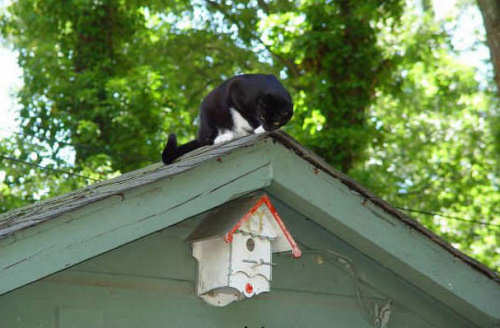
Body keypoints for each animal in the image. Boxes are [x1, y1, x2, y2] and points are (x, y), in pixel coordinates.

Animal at [160, 74, 292, 164]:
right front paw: (258, 128)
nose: (267, 127)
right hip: (209, 113)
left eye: (276, 121)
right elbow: (247, 114)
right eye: (262, 117)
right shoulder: (236, 89)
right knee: (208, 139)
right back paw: (224, 137)